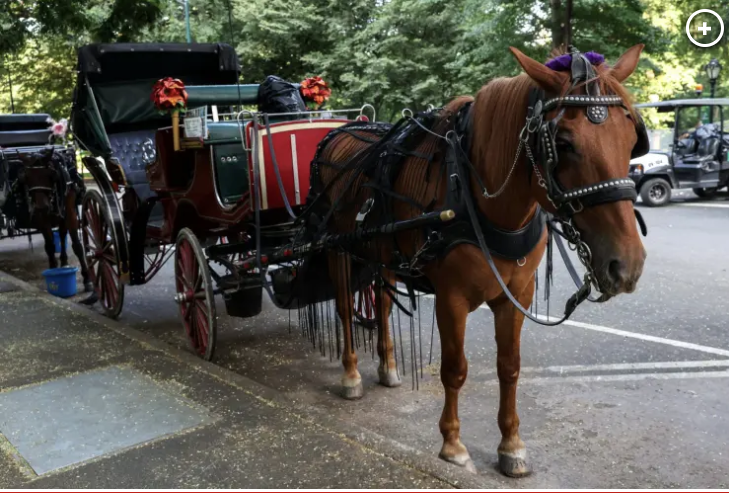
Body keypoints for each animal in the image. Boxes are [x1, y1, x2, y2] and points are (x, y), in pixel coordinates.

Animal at [18, 147, 94, 293]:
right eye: (26, 177)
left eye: (49, 175)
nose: (41, 206)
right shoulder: (42, 217)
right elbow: (50, 246)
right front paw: (52, 267)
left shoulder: (69, 212)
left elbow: (77, 245)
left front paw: (87, 278)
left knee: (63, 234)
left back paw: (64, 260)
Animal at [301, 44, 648, 477]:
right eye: (563, 142)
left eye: (631, 139)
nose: (627, 264)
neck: (483, 200)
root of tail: (342, 130)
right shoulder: (452, 299)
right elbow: (455, 368)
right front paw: (452, 444)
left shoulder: (516, 295)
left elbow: (509, 367)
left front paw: (512, 445)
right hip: (338, 249)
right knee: (346, 311)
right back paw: (350, 374)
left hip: (380, 255)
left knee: (380, 303)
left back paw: (388, 367)